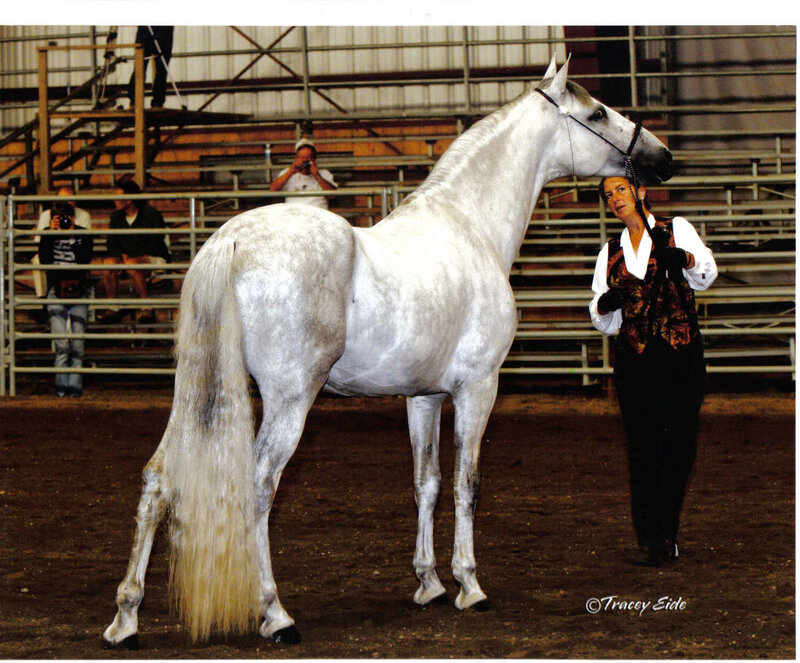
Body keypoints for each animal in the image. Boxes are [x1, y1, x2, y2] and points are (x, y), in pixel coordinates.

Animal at [102, 55, 673, 648]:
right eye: (598, 111)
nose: (663, 158)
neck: (468, 226)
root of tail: (229, 242)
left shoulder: (422, 397)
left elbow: (427, 483)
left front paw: (429, 584)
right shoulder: (478, 387)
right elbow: (467, 484)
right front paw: (470, 586)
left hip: (196, 389)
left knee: (158, 476)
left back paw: (126, 619)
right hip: (288, 399)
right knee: (257, 486)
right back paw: (276, 615)